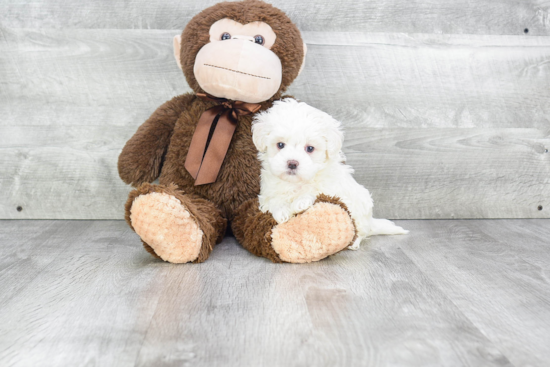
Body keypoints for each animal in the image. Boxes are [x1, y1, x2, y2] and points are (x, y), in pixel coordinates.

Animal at [252, 99, 408, 252]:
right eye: (280, 145)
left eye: (310, 148)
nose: (292, 163)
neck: (297, 183)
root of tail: (370, 222)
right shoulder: (268, 192)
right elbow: (273, 200)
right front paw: (281, 212)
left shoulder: (331, 188)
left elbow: (315, 190)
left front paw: (300, 202)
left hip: (360, 211)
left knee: (360, 231)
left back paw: (354, 243)